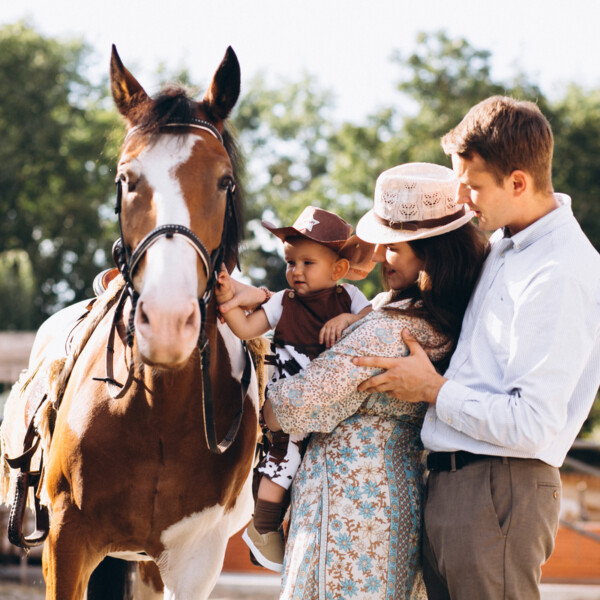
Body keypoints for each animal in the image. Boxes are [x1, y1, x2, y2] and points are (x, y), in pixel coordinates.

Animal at [0, 44, 262, 596]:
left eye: (224, 181)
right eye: (126, 179)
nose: (166, 321)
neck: (156, 406)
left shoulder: (195, 559)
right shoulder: (66, 542)